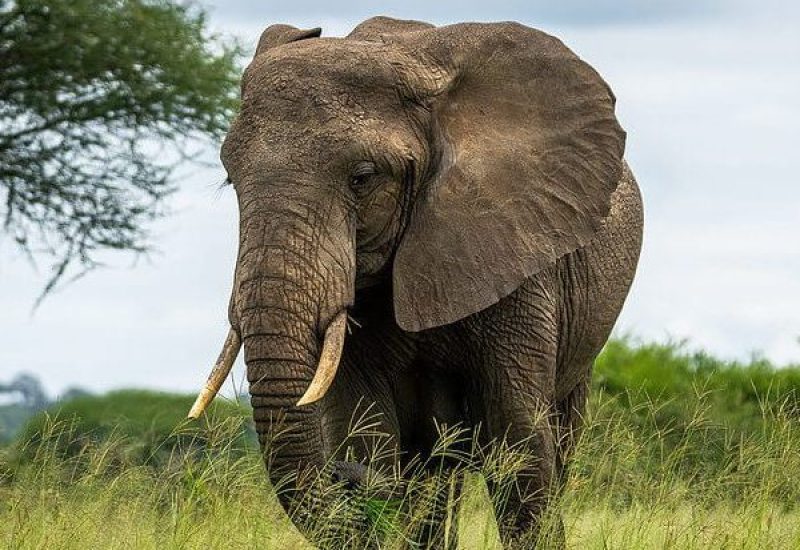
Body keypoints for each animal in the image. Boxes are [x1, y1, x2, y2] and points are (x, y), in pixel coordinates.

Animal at [190, 16, 643, 547]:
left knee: (553, 444)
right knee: (436, 474)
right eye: (230, 180)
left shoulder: (519, 259)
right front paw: (369, 469)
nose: (345, 478)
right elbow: (366, 430)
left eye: (363, 178)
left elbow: (520, 447)